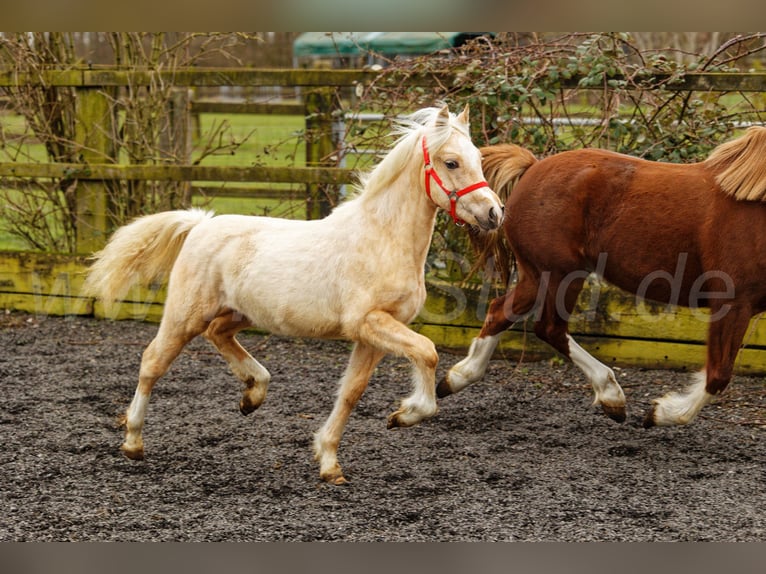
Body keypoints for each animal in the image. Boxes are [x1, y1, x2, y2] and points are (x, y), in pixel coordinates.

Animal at [84, 104, 504, 486]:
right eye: (451, 162)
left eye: (478, 159)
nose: (494, 213)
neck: (382, 238)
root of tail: (200, 224)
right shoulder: (369, 322)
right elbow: (428, 353)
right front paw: (405, 413)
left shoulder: (374, 335)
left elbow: (350, 393)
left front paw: (329, 462)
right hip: (185, 314)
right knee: (153, 361)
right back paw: (133, 442)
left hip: (239, 313)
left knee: (218, 335)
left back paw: (252, 395)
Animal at [438, 128, 766, 430]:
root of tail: (532, 166)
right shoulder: (733, 302)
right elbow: (718, 375)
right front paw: (661, 413)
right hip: (561, 273)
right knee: (550, 328)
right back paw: (612, 396)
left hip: (537, 275)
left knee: (500, 311)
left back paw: (454, 379)